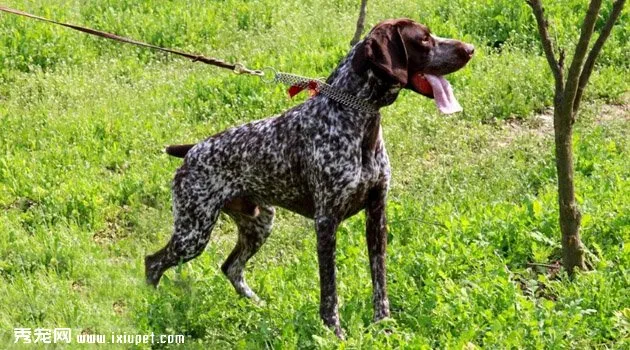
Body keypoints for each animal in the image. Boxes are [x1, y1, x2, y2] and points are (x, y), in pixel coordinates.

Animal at [147, 17, 474, 338]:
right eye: (424, 39)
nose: (470, 49)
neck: (356, 120)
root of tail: (191, 150)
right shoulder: (326, 222)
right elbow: (330, 289)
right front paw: (334, 332)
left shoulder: (376, 214)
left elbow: (379, 278)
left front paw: (383, 325)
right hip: (194, 232)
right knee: (153, 263)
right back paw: (155, 308)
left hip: (258, 224)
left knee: (230, 267)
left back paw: (258, 306)